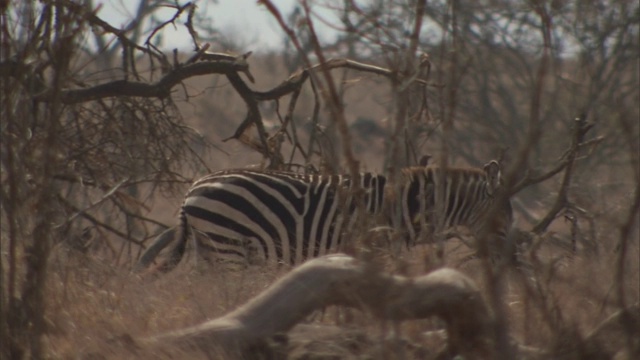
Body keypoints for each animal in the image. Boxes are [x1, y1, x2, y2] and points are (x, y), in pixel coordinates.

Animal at [134, 162, 510, 272]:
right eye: (505, 218)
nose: (511, 258)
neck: (408, 205)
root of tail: (192, 188)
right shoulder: (376, 247)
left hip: (209, 246)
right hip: (227, 245)